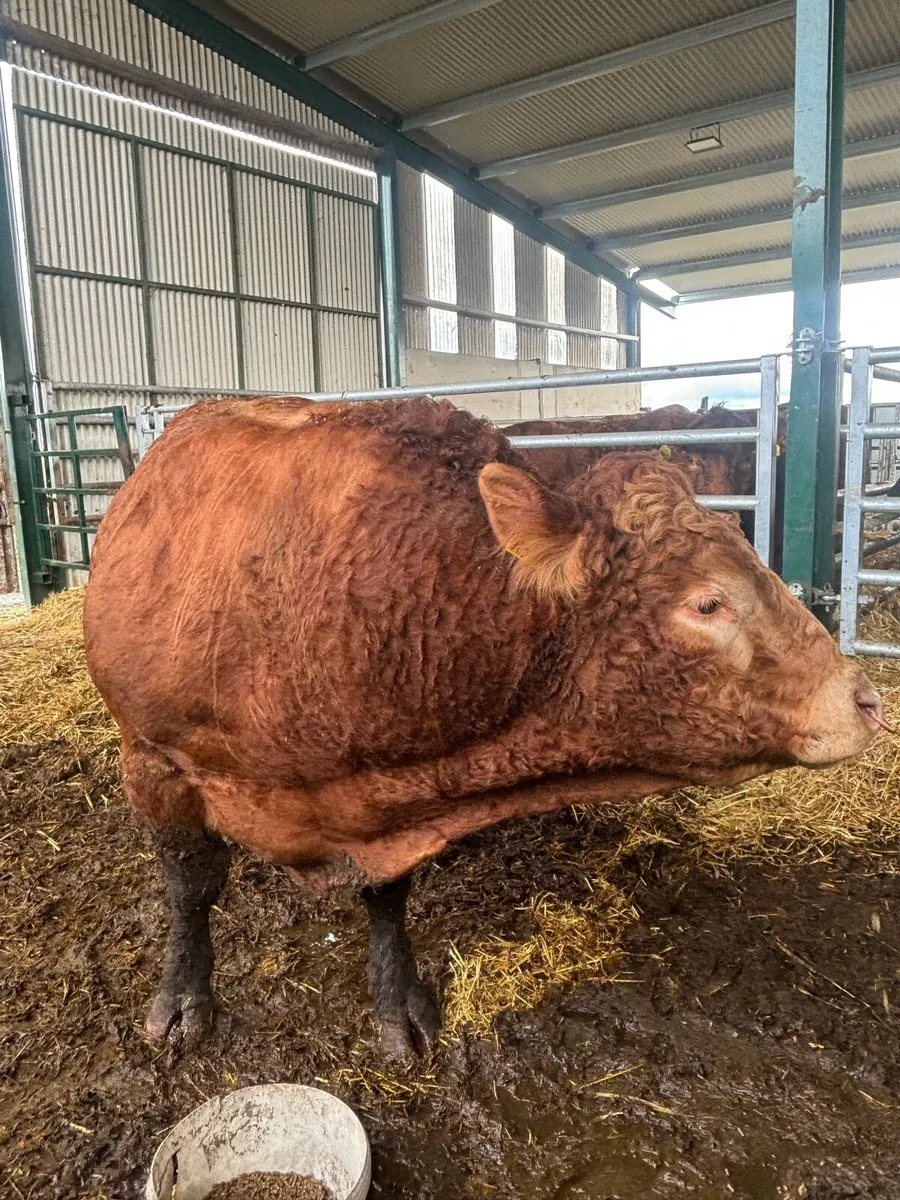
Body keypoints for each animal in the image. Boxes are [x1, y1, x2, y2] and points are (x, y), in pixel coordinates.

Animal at [83, 396, 887, 1059]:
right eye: (708, 602)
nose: (865, 700)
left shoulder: (382, 792)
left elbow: (386, 899)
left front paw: (397, 1005)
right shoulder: (154, 760)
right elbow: (191, 888)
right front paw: (182, 999)